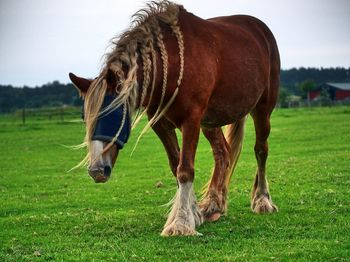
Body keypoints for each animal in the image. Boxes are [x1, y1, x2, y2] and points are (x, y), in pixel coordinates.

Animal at [69, 0, 280, 236]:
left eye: (113, 116)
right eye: (86, 119)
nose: (97, 171)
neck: (170, 65)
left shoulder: (191, 121)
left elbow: (185, 170)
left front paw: (181, 223)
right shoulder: (161, 124)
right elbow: (176, 165)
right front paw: (193, 213)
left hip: (262, 109)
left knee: (261, 150)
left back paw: (262, 200)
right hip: (210, 122)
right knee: (222, 153)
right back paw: (214, 205)